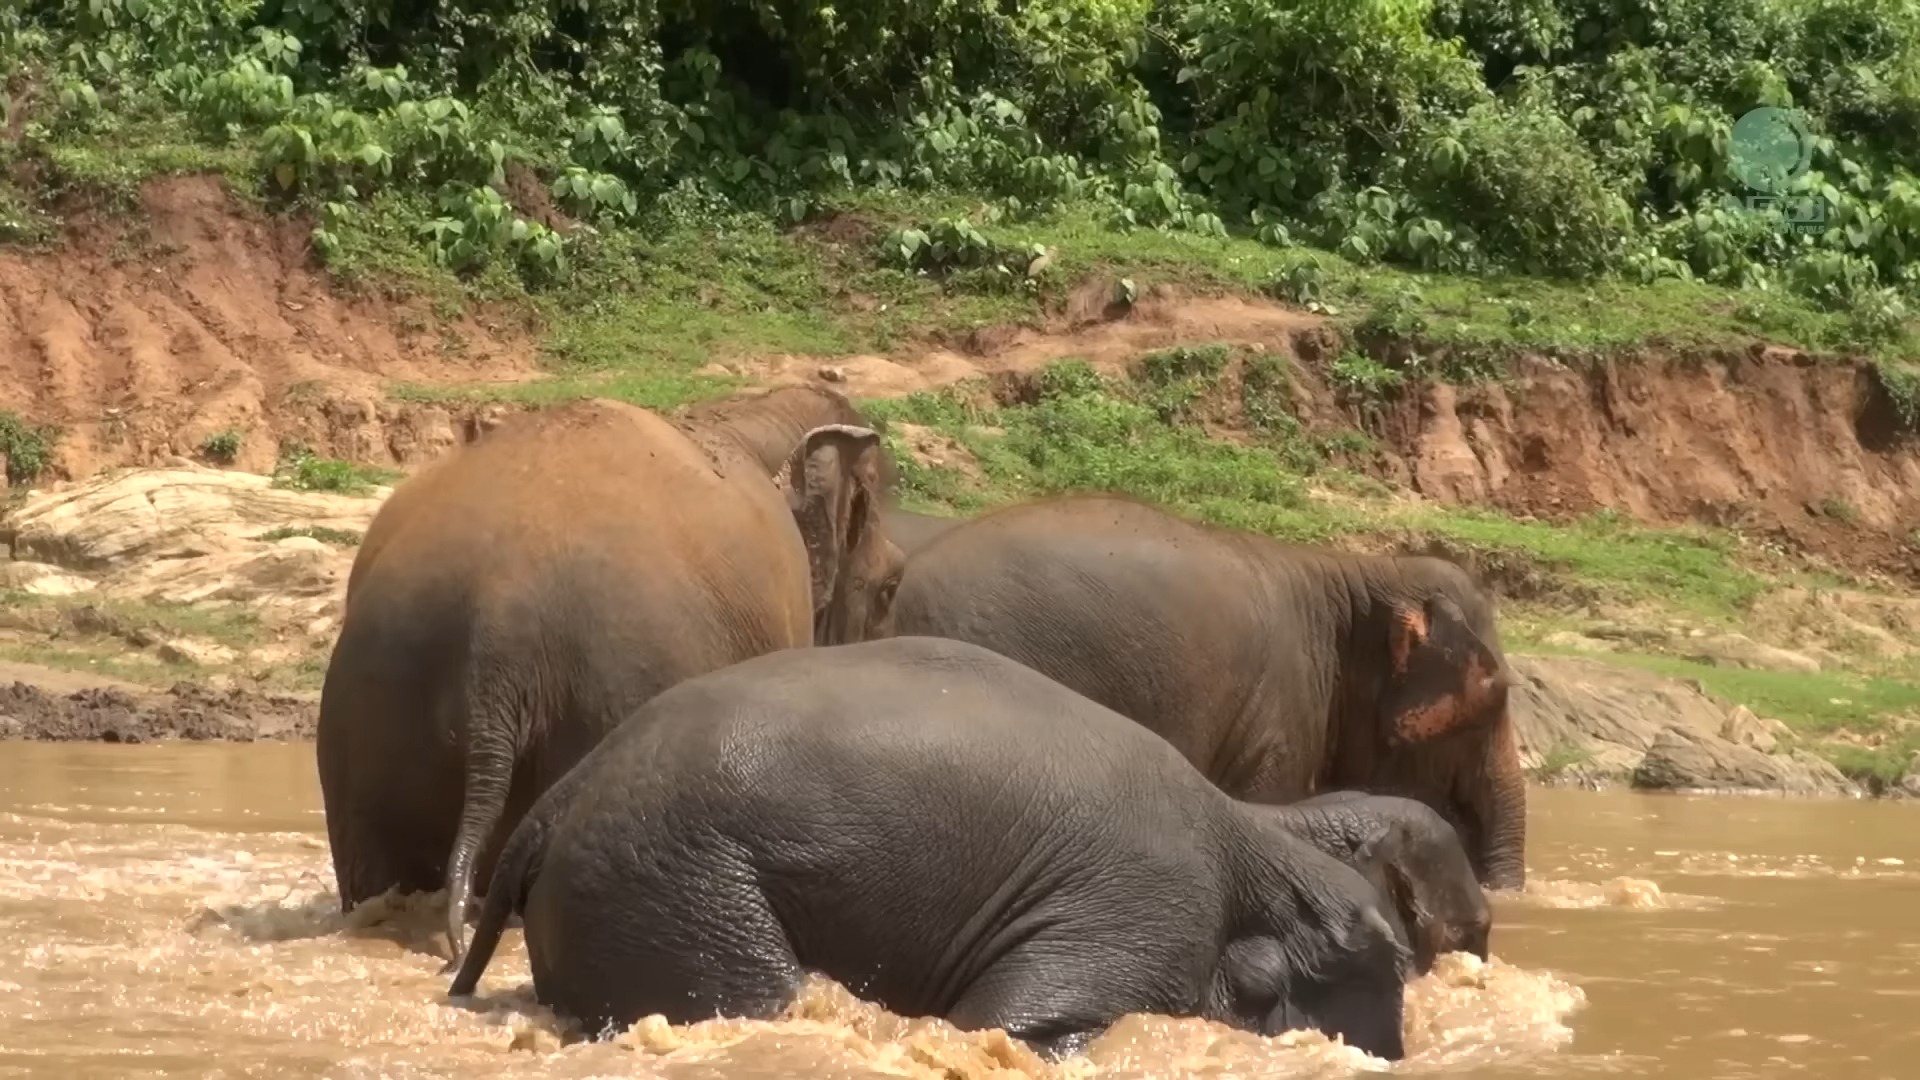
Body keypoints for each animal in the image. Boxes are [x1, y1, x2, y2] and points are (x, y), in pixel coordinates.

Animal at [449, 635, 1415, 1063]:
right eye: (1393, 969)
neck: (1257, 842)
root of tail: (555, 803)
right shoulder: (1148, 910)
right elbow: (1002, 1027)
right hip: (671, 880)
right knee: (751, 995)